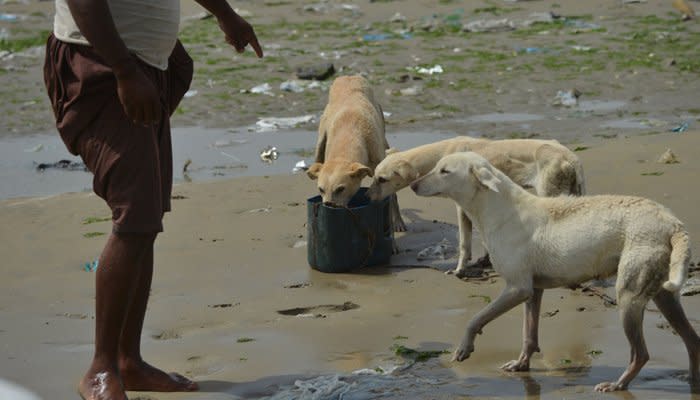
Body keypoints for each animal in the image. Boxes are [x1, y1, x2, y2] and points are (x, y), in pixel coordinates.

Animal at [308, 74, 408, 231]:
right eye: (321, 189)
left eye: (340, 189)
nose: (329, 206)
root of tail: (348, 76)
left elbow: (391, 195)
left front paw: (397, 222)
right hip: (320, 140)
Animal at [366, 137, 584, 276]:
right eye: (374, 176)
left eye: (382, 179)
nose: (367, 196)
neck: (444, 152)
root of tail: (570, 159)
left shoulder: (462, 207)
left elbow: (464, 244)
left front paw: (459, 270)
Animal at [410, 152, 696, 392]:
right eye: (436, 167)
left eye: (444, 171)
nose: (412, 186)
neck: (496, 207)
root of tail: (672, 223)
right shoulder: (533, 290)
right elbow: (529, 335)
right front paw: (521, 364)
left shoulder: (517, 288)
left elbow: (476, 318)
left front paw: (464, 348)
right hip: (663, 295)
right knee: (693, 339)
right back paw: (692, 379)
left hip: (629, 296)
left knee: (641, 353)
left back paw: (618, 384)